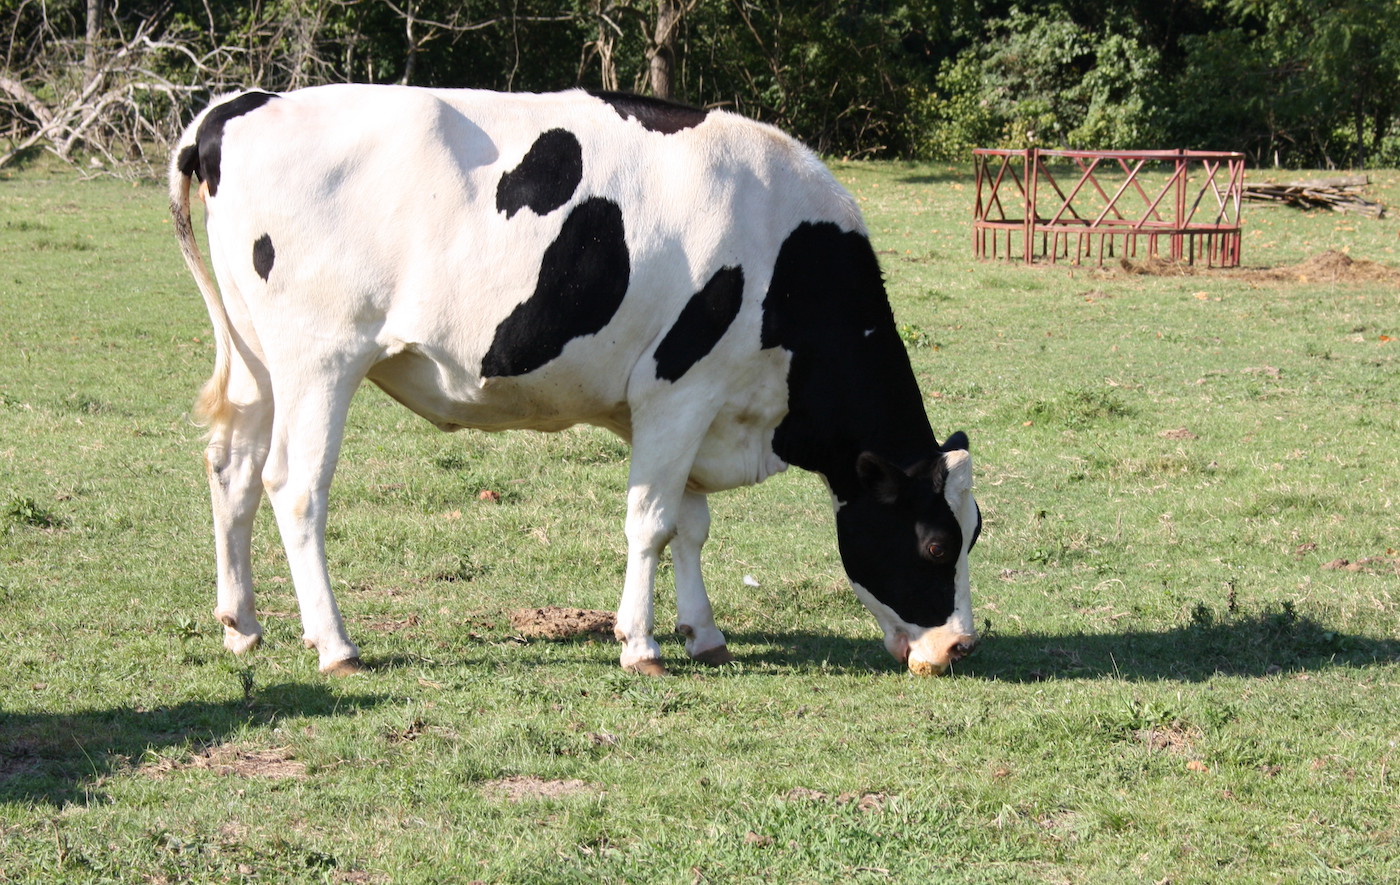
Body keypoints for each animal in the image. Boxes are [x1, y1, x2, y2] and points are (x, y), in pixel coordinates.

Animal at [168, 84, 981, 678]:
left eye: (975, 531)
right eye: (937, 546)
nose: (958, 645)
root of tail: (240, 104)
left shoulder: (687, 407)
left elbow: (690, 523)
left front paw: (704, 632)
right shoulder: (679, 390)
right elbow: (651, 521)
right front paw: (641, 646)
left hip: (259, 360)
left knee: (232, 469)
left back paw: (243, 626)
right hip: (322, 358)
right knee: (295, 487)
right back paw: (335, 645)